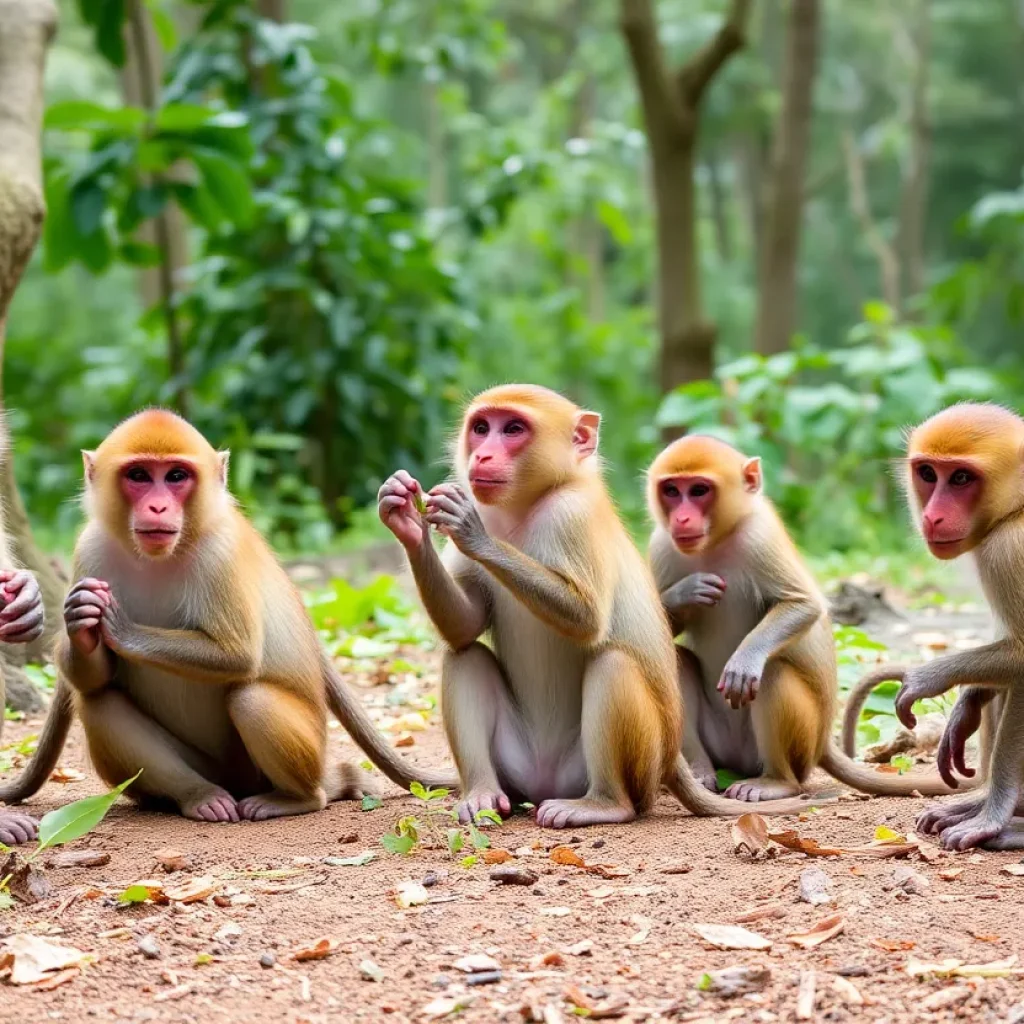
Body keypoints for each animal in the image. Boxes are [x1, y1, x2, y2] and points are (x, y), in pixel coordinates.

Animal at [0, 410, 455, 823]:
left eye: (176, 476)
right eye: (140, 475)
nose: (158, 506)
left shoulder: (221, 552)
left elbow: (238, 655)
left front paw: (119, 628)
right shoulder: (91, 549)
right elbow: (95, 678)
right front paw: (80, 620)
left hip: (294, 755)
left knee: (251, 700)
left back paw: (300, 797)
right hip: (211, 769)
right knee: (100, 703)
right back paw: (197, 796)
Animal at [378, 384, 822, 830]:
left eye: (514, 429)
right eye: (482, 428)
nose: (482, 456)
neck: (528, 505)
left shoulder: (573, 515)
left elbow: (587, 620)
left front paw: (473, 532)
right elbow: (466, 626)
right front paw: (407, 521)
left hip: (638, 764)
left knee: (613, 664)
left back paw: (605, 804)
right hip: (517, 767)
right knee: (464, 655)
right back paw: (483, 794)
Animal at [647, 434, 967, 804]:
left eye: (699, 490)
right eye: (672, 490)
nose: (682, 519)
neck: (717, 539)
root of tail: (821, 744)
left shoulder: (759, 538)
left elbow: (803, 605)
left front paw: (745, 660)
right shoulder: (661, 546)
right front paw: (685, 592)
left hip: (800, 743)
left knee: (772, 673)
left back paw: (776, 781)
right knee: (677, 662)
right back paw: (701, 771)